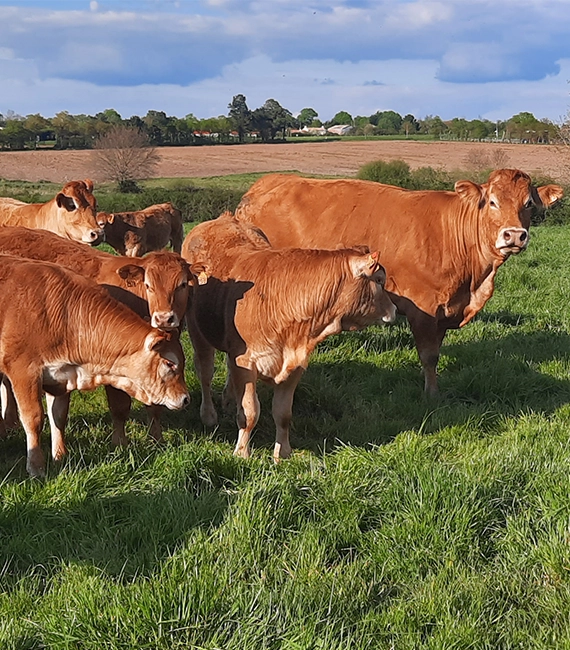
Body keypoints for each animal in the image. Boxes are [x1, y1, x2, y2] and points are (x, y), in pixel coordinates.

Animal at [0, 254, 191, 476]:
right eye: (169, 363)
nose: (185, 399)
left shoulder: (60, 377)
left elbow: (58, 416)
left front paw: (60, 456)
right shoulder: (24, 373)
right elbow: (34, 419)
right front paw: (36, 467)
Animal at [182, 213, 394, 460]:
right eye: (379, 280)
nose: (394, 310)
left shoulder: (295, 365)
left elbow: (283, 414)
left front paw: (282, 453)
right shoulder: (246, 362)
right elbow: (249, 412)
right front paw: (242, 452)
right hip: (197, 331)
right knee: (205, 373)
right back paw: (209, 414)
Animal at [233, 170, 560, 394]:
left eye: (529, 204)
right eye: (492, 202)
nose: (514, 235)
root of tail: (265, 184)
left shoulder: (446, 309)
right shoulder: (424, 307)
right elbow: (429, 355)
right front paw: (432, 394)